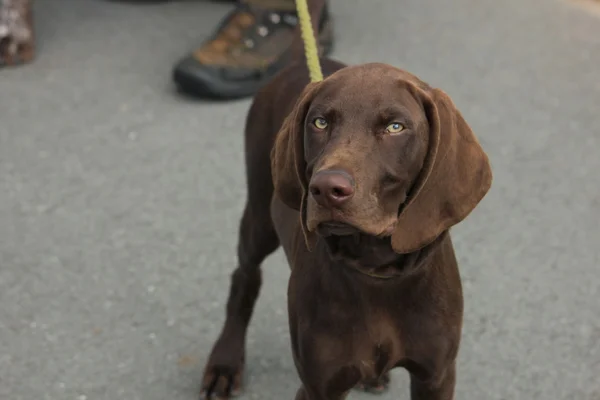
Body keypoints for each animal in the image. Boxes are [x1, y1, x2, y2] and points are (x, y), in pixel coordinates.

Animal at [200, 57, 492, 400]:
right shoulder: (318, 386)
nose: (326, 189)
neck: (376, 268)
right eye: (320, 123)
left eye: (395, 127)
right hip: (259, 215)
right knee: (244, 276)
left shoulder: (436, 377)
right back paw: (225, 362)